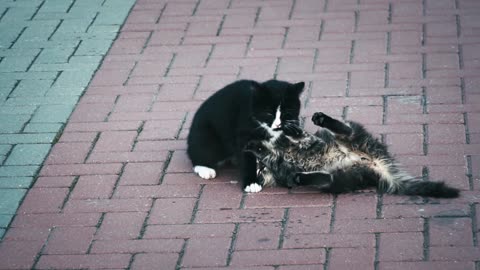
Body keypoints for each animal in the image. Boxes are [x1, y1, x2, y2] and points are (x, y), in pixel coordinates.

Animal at [246, 110, 460, 197]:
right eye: (259, 171)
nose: (259, 170)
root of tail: (374, 162)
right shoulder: (281, 169)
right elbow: (271, 156)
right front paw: (255, 146)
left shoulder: (310, 142)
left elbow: (302, 137)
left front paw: (288, 130)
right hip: (345, 178)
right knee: (326, 179)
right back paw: (301, 178)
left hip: (351, 137)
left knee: (344, 129)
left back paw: (322, 119)